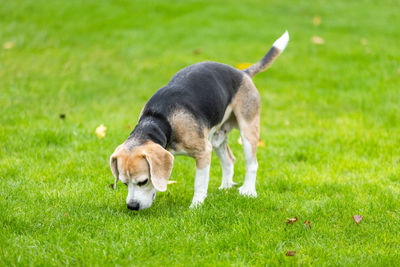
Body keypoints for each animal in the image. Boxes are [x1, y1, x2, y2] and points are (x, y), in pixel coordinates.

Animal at [111, 30, 290, 211]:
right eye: (124, 183)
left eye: (143, 181)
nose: (132, 206)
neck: (158, 119)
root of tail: (243, 73)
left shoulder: (203, 152)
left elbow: (199, 184)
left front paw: (196, 206)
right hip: (217, 138)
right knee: (229, 160)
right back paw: (225, 187)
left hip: (247, 130)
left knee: (252, 164)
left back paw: (248, 191)